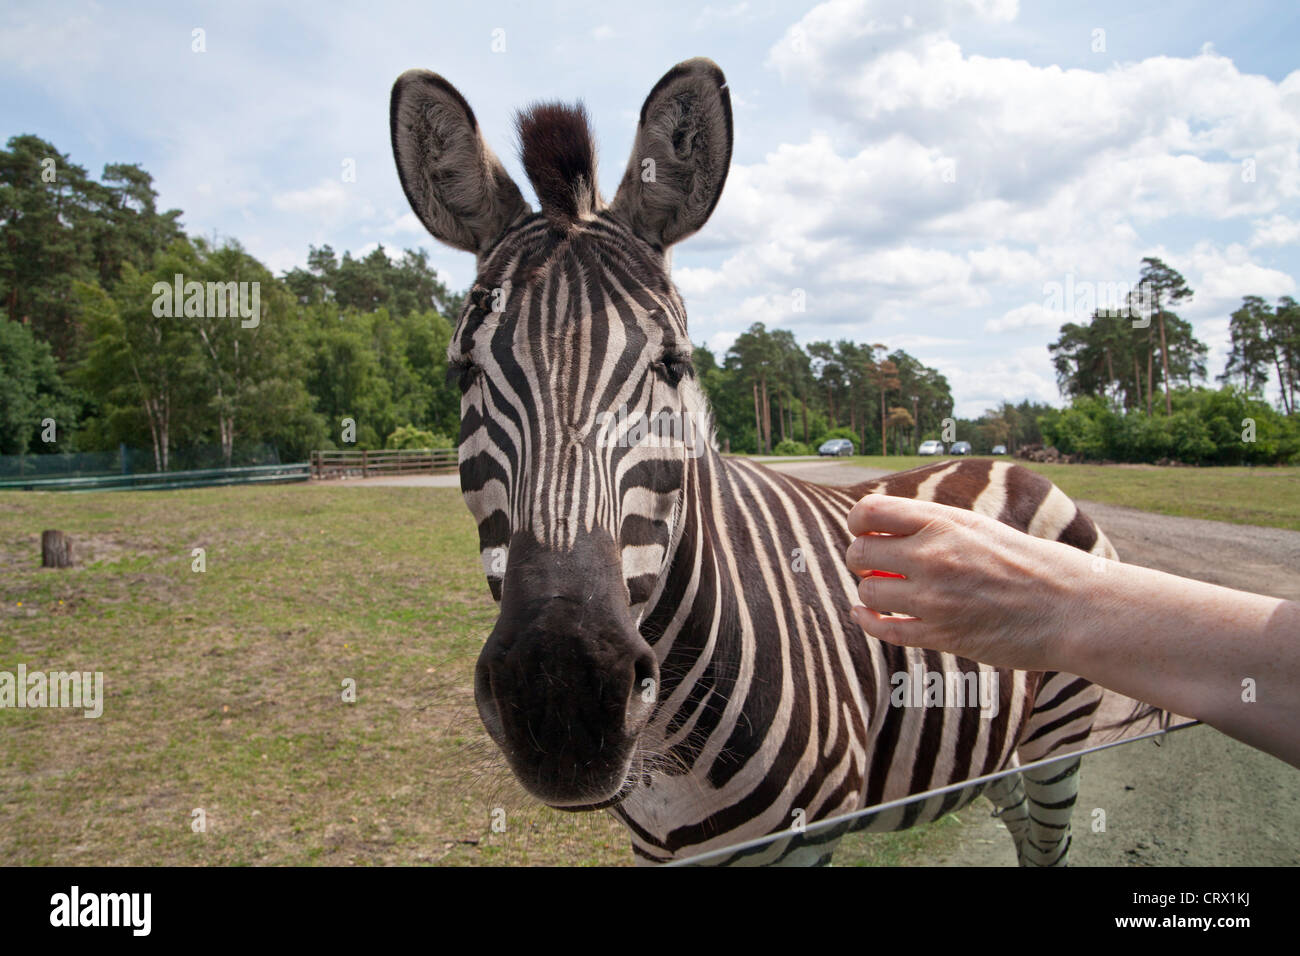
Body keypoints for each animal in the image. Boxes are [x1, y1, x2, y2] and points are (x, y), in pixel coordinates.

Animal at [390, 59, 1164, 868]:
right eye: (463, 371)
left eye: (673, 364)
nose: (564, 697)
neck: (668, 746)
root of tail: (1014, 467)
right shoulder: (660, 850)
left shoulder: (806, 838)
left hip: (1059, 733)